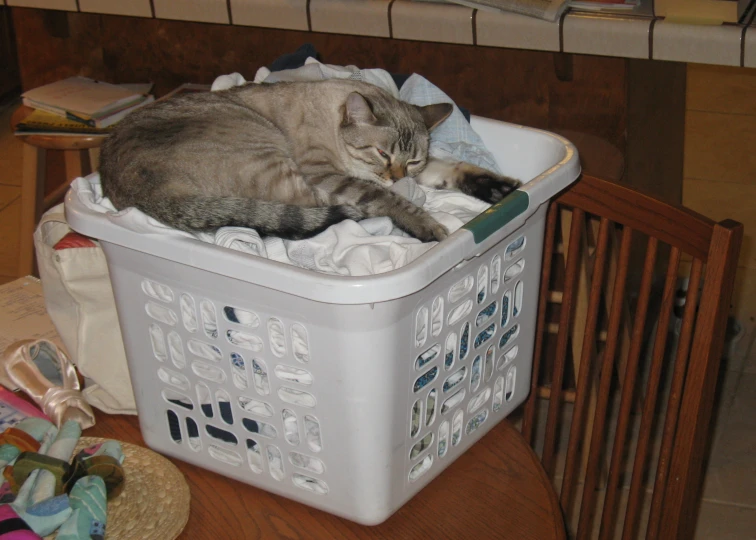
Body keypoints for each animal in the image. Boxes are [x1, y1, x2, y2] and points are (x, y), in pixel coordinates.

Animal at [99, 78, 520, 243]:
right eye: (382, 153)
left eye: (411, 161)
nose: (397, 175)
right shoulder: (329, 175)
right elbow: (389, 198)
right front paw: (428, 225)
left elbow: (451, 171)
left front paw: (500, 189)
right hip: (273, 157)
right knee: (323, 209)